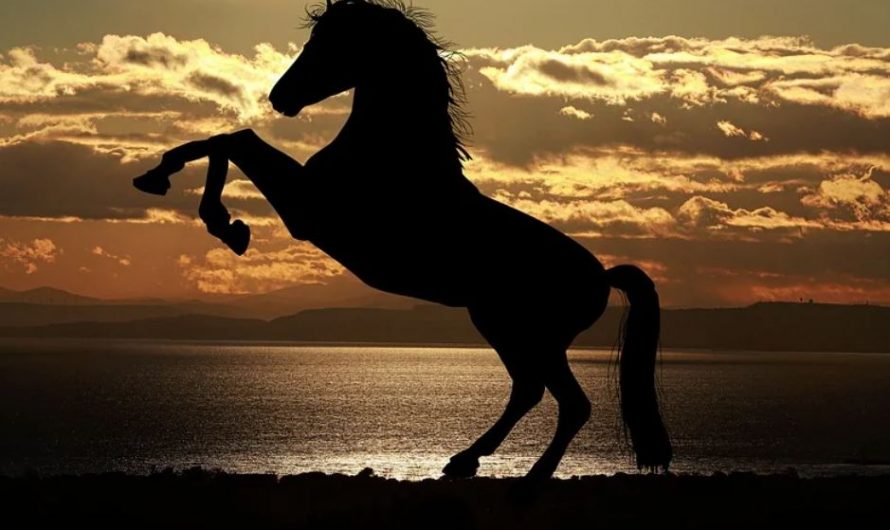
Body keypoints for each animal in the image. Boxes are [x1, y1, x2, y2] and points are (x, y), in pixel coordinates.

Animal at [133, 0, 672, 480]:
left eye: (329, 43)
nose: (279, 97)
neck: (392, 156)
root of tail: (601, 276)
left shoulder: (308, 210)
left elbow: (235, 140)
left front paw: (220, 220)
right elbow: (226, 140)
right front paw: (166, 182)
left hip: (529, 334)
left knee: (569, 402)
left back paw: (528, 477)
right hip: (503, 327)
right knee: (530, 391)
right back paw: (464, 462)